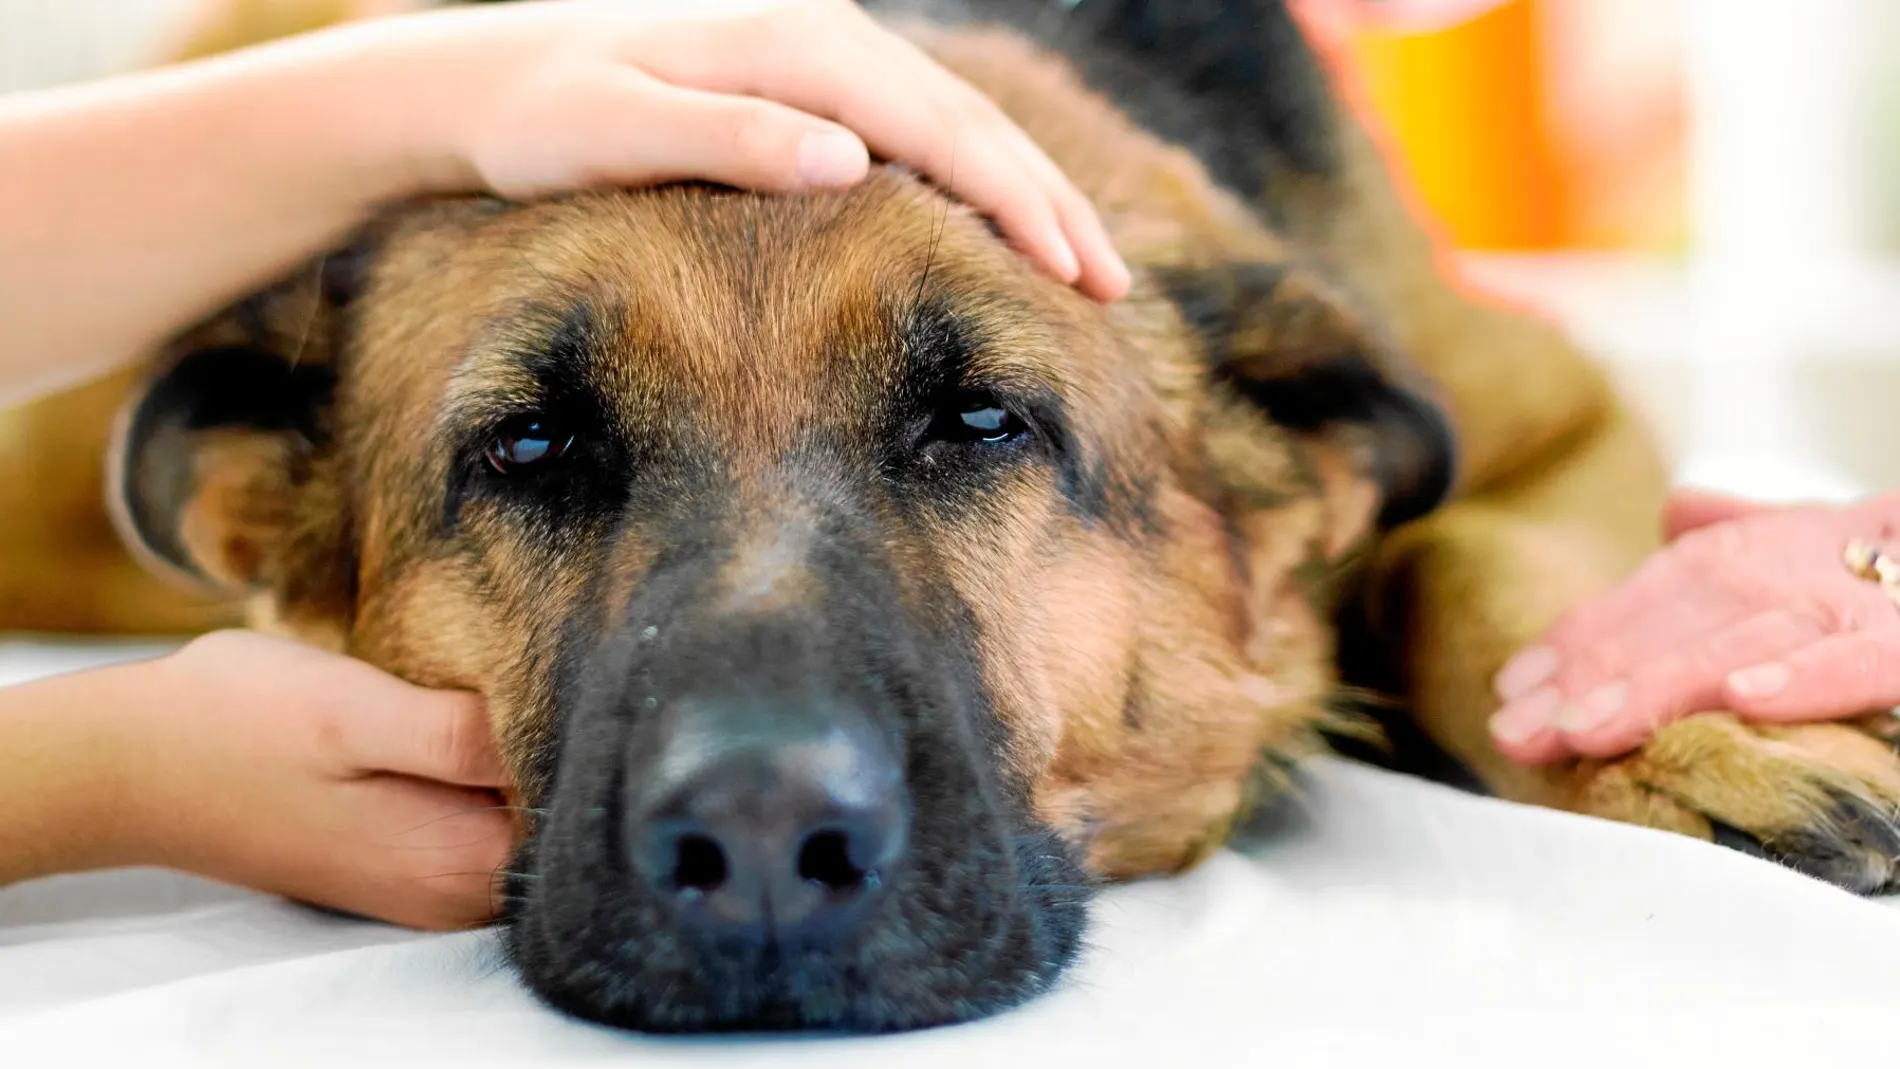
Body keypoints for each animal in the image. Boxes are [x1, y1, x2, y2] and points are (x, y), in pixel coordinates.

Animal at [11, 0, 1900, 1040]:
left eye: (981, 420)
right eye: (533, 447)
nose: (762, 841)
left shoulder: (1568, 417)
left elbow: (1463, 554)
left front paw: (1698, 733)